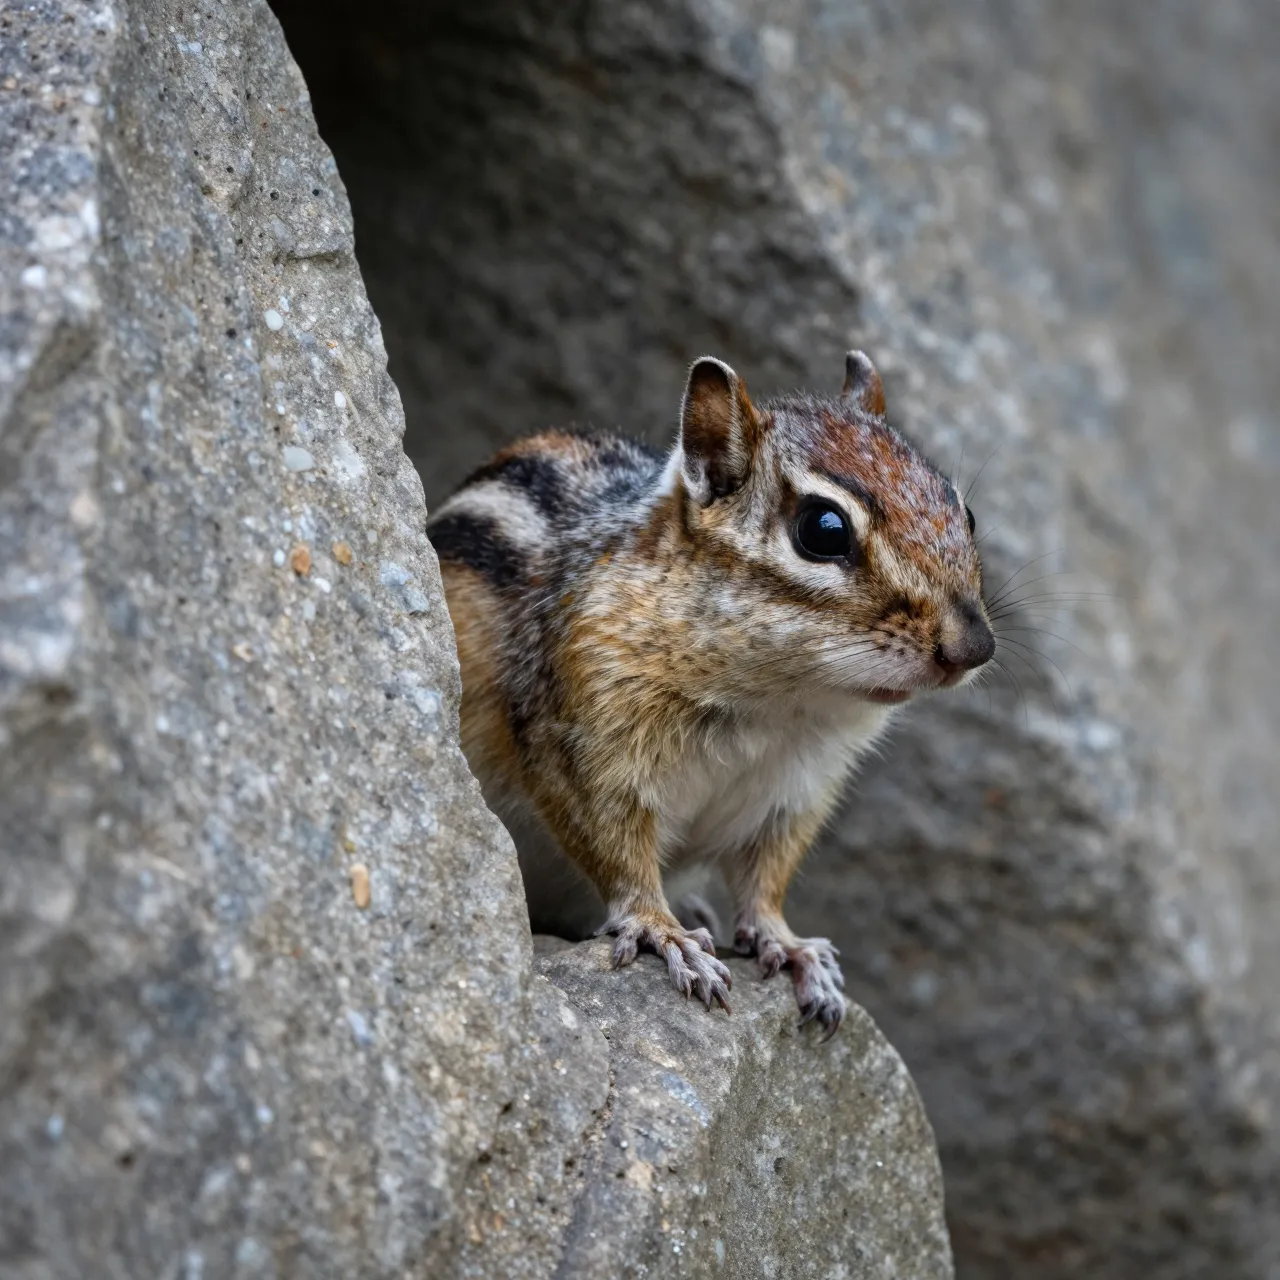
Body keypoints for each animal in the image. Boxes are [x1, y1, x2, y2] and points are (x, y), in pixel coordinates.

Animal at [427, 352, 994, 1037]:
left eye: (965, 513)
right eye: (823, 530)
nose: (975, 646)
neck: (778, 702)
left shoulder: (797, 792)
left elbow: (765, 879)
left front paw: (791, 946)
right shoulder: (581, 743)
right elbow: (616, 851)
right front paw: (663, 931)